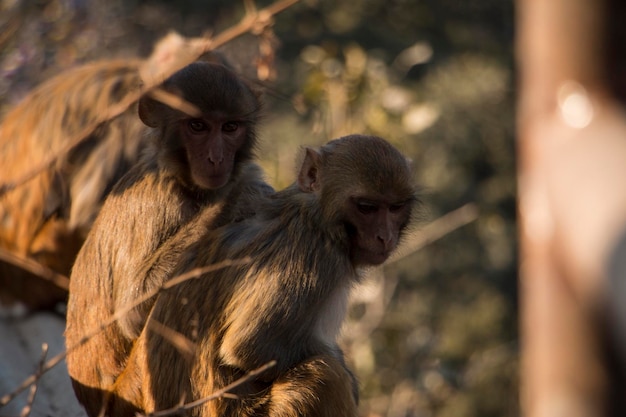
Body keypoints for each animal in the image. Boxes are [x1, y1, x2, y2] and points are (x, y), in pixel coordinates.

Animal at [64, 59, 272, 416]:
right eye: (198, 126)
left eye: (229, 127)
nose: (216, 158)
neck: (182, 181)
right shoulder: (158, 205)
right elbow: (131, 312)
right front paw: (240, 193)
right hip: (133, 390)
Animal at [107, 134, 420, 416]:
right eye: (367, 207)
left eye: (395, 207)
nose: (384, 236)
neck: (314, 214)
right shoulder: (316, 259)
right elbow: (250, 347)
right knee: (324, 374)